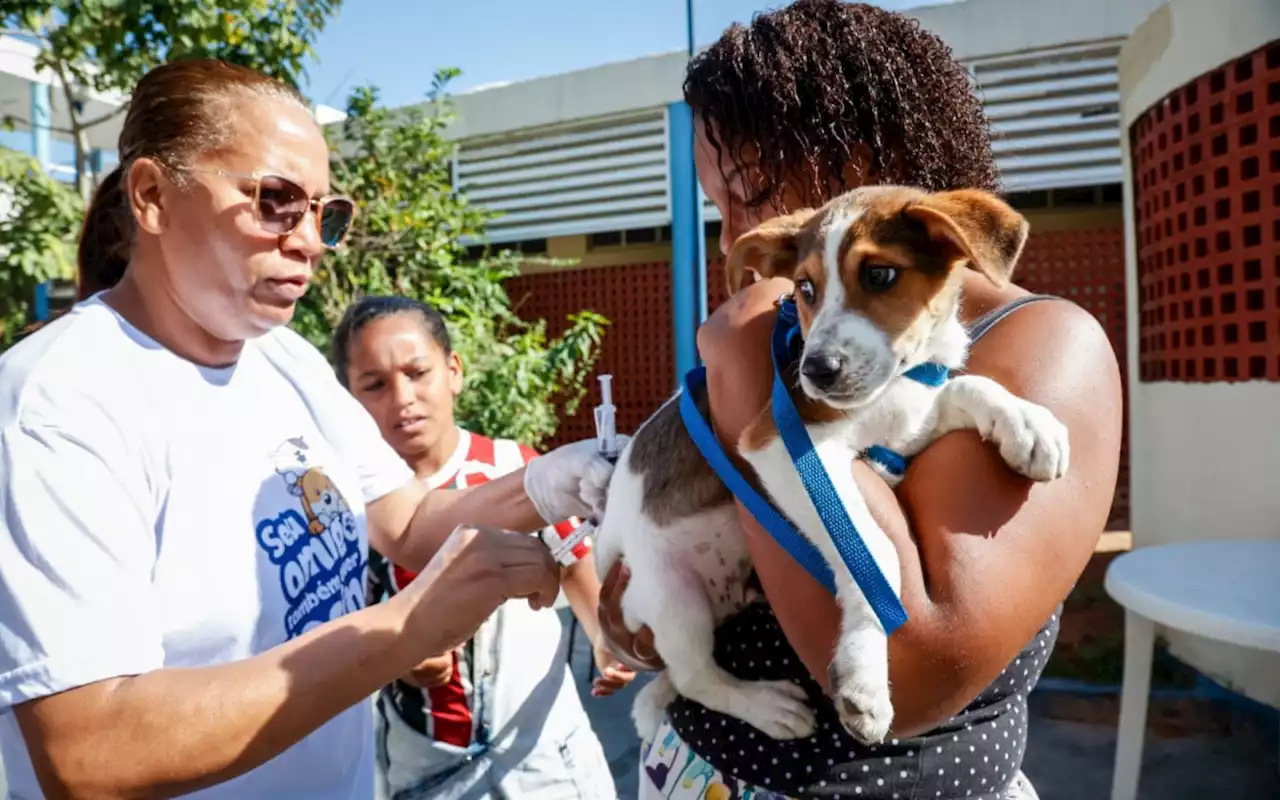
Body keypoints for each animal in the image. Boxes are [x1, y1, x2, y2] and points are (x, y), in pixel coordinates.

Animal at [596, 185, 1070, 742]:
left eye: (880, 275)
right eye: (805, 287)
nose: (815, 372)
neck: (900, 380)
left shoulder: (907, 426)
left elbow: (967, 386)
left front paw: (1028, 421)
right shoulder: (780, 443)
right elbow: (874, 552)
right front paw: (863, 678)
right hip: (669, 593)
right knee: (694, 675)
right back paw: (767, 705)